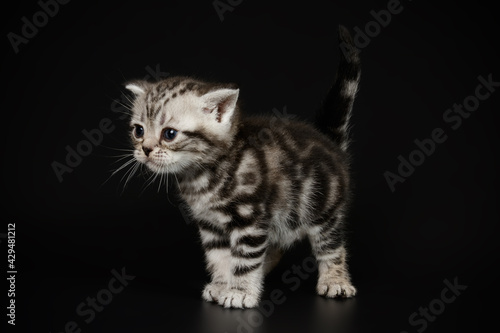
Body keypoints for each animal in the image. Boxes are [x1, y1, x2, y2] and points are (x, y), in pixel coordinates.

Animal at [123, 24, 362, 308]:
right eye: (138, 131)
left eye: (169, 134)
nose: (146, 149)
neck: (204, 175)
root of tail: (328, 140)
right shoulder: (211, 225)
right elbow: (220, 258)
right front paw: (222, 284)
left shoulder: (250, 219)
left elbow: (245, 258)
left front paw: (240, 292)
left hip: (323, 209)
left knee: (331, 246)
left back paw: (336, 281)